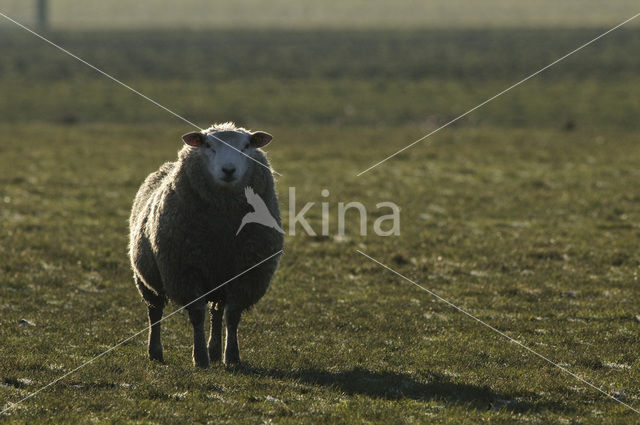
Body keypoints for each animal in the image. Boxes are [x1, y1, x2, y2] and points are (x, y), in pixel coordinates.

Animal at [127, 121, 282, 366]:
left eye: (247, 145)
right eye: (208, 145)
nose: (228, 170)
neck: (223, 228)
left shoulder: (245, 273)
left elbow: (232, 315)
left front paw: (232, 357)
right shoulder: (186, 272)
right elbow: (197, 315)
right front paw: (199, 358)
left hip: (218, 278)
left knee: (216, 312)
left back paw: (215, 351)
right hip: (146, 278)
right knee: (155, 312)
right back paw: (155, 351)